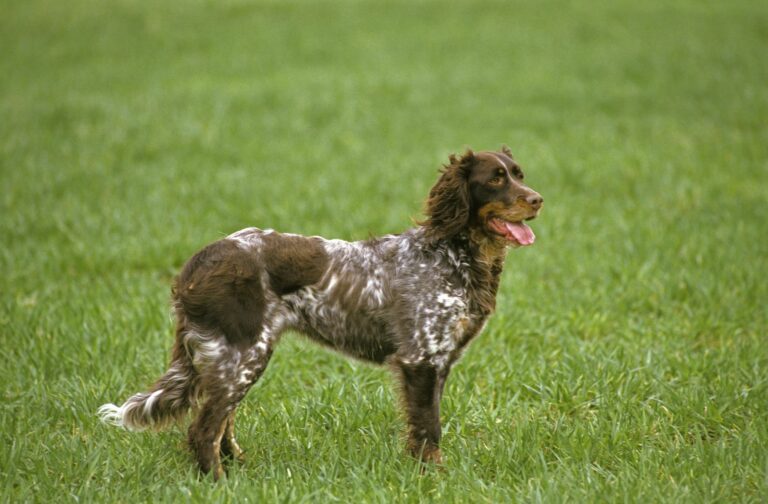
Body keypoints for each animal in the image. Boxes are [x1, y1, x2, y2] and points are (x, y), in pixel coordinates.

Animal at [99, 147, 544, 480]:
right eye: (495, 179)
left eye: (519, 174)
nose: (538, 199)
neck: (453, 255)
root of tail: (199, 262)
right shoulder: (420, 360)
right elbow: (428, 428)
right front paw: (432, 477)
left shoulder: (438, 362)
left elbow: (424, 428)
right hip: (243, 353)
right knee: (204, 427)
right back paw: (219, 482)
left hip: (232, 360)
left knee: (221, 421)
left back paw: (239, 468)